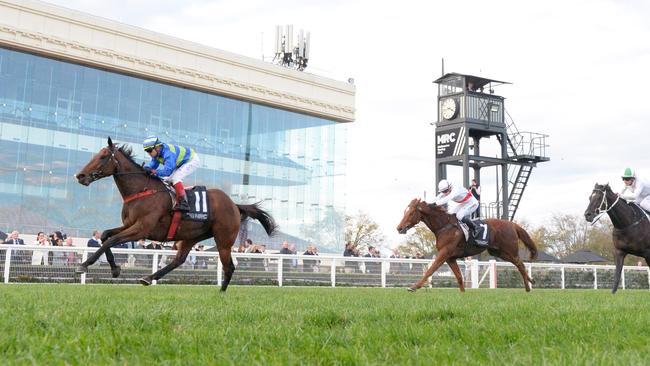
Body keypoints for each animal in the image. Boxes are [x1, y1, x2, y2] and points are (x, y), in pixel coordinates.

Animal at [74, 137, 276, 292]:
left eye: (103, 156)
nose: (80, 176)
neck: (141, 190)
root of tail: (234, 205)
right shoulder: (129, 225)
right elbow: (106, 235)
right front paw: (115, 268)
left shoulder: (141, 229)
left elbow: (111, 240)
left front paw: (84, 265)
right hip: (192, 236)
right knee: (180, 260)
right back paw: (148, 278)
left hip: (224, 239)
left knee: (229, 267)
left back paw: (221, 293)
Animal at [394, 199, 536, 294]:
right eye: (405, 212)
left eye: (411, 213)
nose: (399, 228)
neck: (444, 226)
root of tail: (512, 224)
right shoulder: (450, 258)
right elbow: (459, 277)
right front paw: (463, 294)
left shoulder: (444, 253)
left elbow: (430, 270)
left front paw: (414, 287)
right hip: (499, 253)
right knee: (519, 264)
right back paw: (531, 281)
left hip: (510, 250)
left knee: (520, 265)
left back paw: (528, 288)